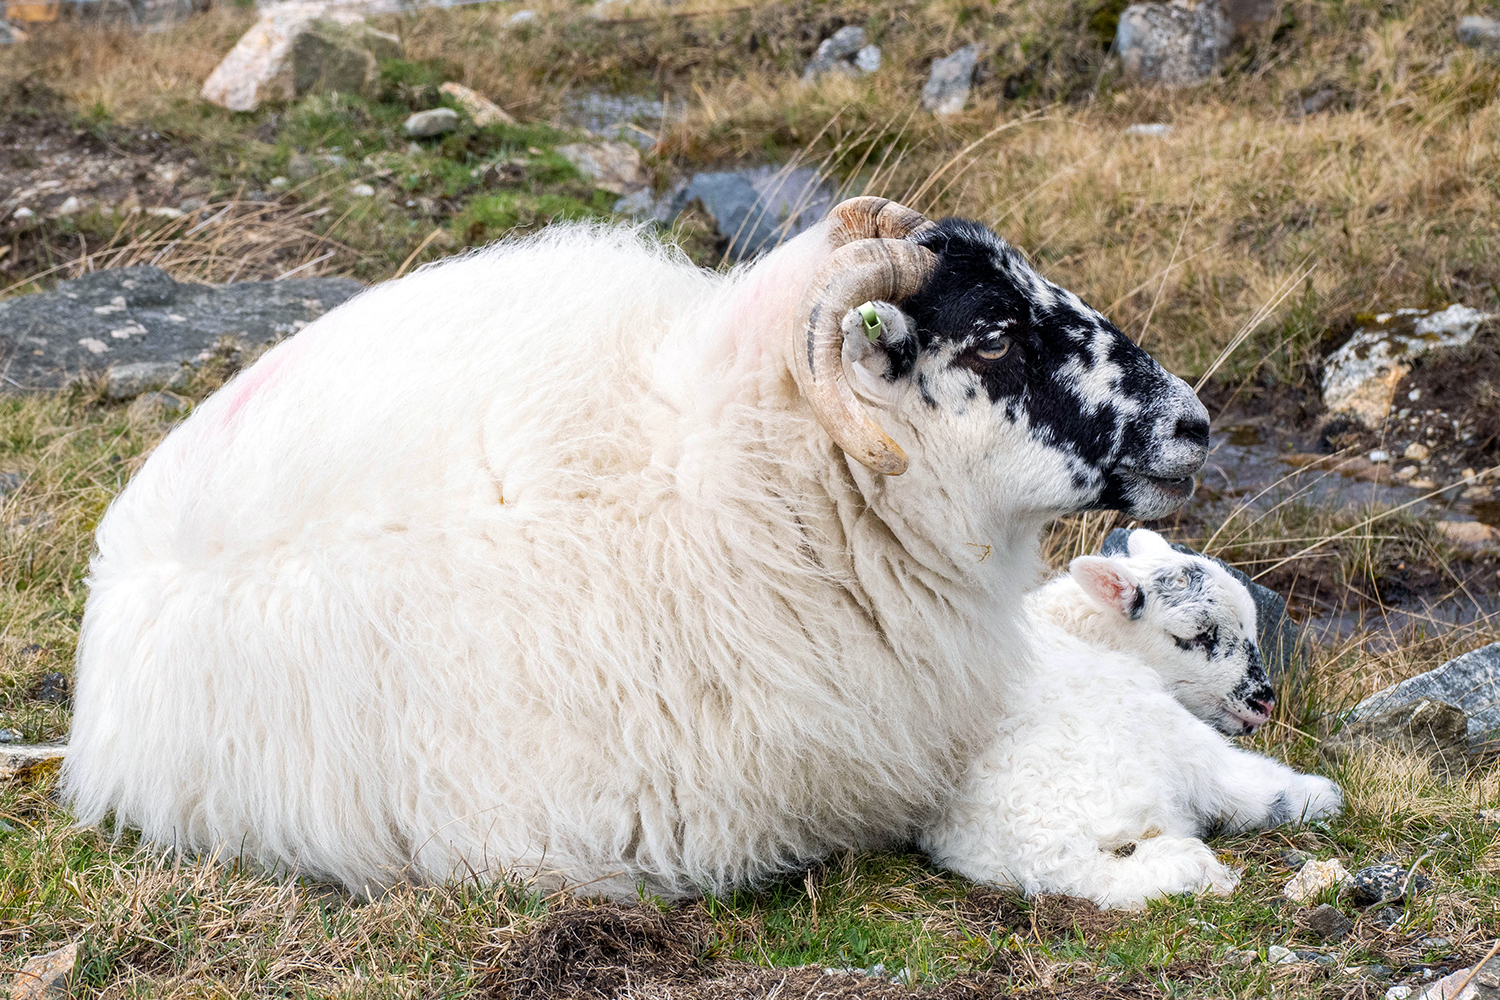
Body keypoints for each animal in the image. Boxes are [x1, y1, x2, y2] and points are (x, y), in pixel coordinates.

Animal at [918, 527, 1344, 911]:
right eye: (1197, 636)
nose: (1264, 702)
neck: (1084, 632)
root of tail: (1051, 853)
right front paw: (1325, 794)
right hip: (1164, 743)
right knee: (1238, 790)